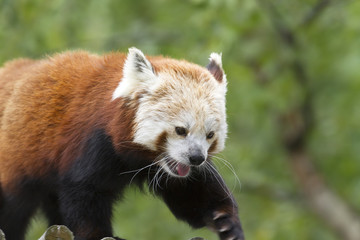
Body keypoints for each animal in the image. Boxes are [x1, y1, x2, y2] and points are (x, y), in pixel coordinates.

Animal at [0, 47, 245, 239]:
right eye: (181, 130)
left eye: (210, 135)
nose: (196, 158)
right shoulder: (92, 142)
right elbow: (85, 193)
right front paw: (98, 235)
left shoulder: (171, 171)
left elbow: (192, 191)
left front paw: (226, 222)